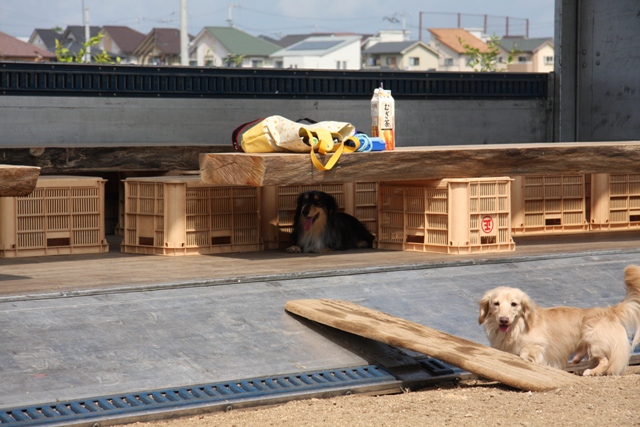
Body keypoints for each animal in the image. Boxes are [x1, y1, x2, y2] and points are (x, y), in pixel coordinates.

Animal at [478, 265, 640, 376]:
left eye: (514, 304)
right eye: (496, 303)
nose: (503, 320)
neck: (515, 328)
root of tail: (609, 311)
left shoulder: (538, 345)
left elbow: (525, 353)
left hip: (594, 341)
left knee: (605, 361)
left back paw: (591, 372)